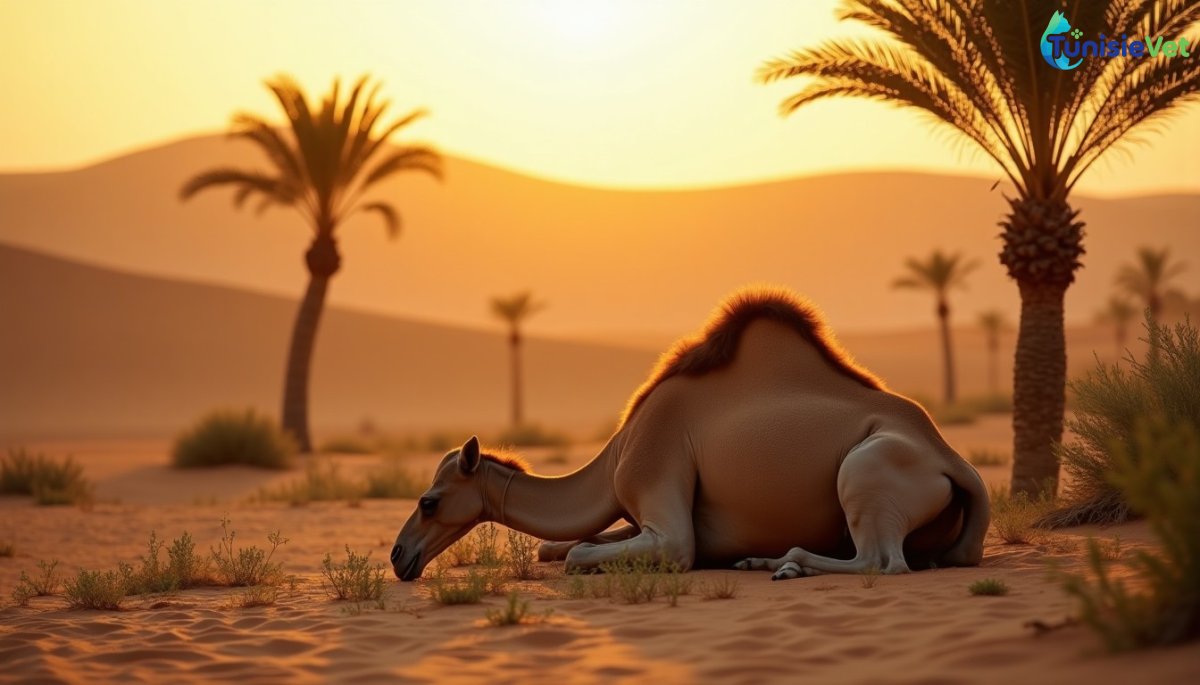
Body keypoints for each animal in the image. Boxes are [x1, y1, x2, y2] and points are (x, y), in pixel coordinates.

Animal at [390, 288, 989, 581]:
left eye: (428, 500)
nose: (398, 557)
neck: (616, 458)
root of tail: (955, 463)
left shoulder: (660, 488)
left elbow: (585, 552)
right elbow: (560, 546)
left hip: (867, 469)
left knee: (881, 562)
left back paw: (785, 564)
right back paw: (767, 563)